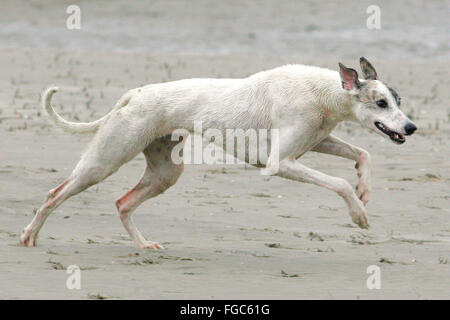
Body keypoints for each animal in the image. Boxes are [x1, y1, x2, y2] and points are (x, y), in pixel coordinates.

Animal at [20, 57, 414, 249]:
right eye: (381, 102)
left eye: (398, 100)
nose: (411, 128)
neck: (324, 93)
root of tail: (135, 93)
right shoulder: (280, 163)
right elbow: (339, 184)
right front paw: (359, 214)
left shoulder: (316, 142)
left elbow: (363, 154)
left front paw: (364, 188)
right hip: (105, 160)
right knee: (53, 195)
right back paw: (29, 236)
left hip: (164, 173)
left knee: (123, 203)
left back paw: (144, 245)